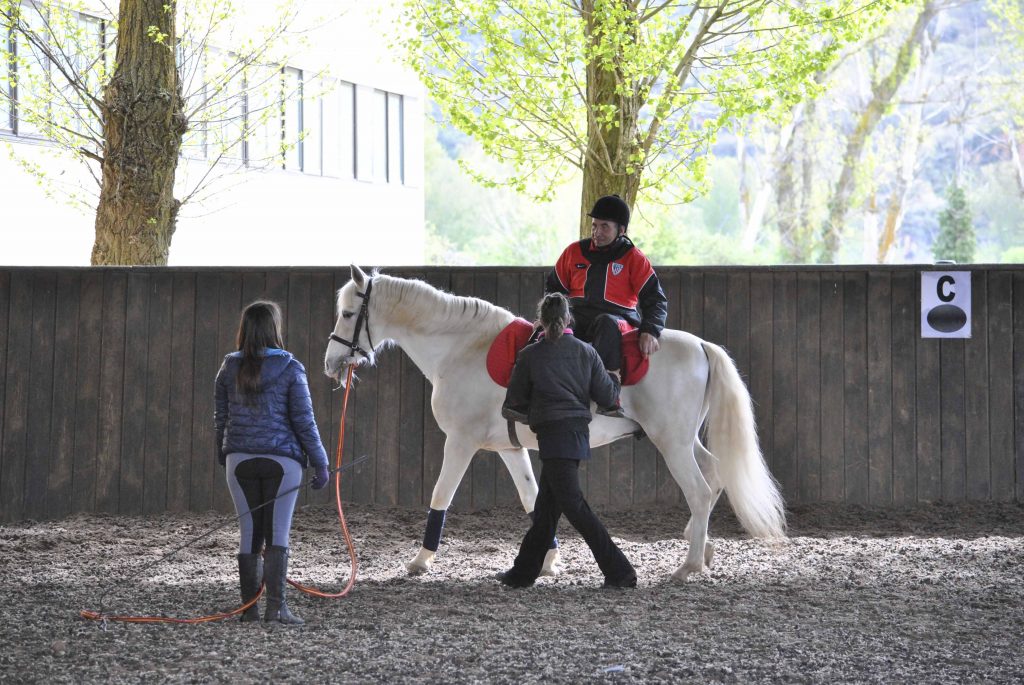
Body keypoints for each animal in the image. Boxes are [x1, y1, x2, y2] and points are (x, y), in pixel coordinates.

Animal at [324, 265, 786, 582]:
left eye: (348, 313)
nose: (331, 364)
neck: (462, 349)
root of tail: (702, 345)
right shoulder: (511, 449)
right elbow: (532, 500)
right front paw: (548, 561)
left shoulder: (460, 442)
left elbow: (441, 495)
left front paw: (420, 561)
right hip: (685, 441)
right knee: (714, 474)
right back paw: (701, 548)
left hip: (670, 443)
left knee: (700, 490)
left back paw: (687, 566)